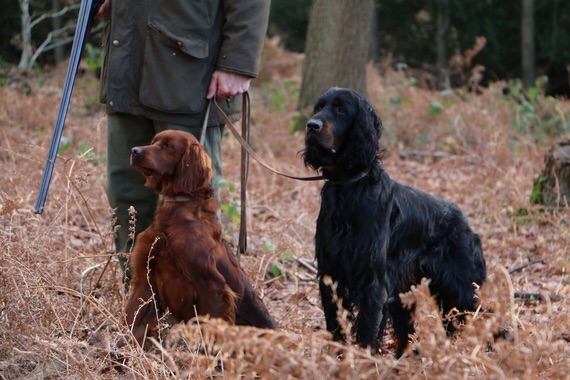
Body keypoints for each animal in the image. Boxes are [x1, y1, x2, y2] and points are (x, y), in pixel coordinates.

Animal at [124, 130, 276, 344]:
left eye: (168, 145)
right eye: (153, 142)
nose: (134, 151)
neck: (176, 212)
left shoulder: (212, 285)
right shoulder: (145, 281)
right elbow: (131, 319)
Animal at [302, 87, 484, 358]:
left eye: (341, 109)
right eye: (318, 107)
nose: (311, 125)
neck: (350, 187)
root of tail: (464, 222)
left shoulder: (372, 281)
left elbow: (368, 331)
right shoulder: (330, 275)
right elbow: (336, 326)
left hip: (464, 289)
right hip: (404, 294)